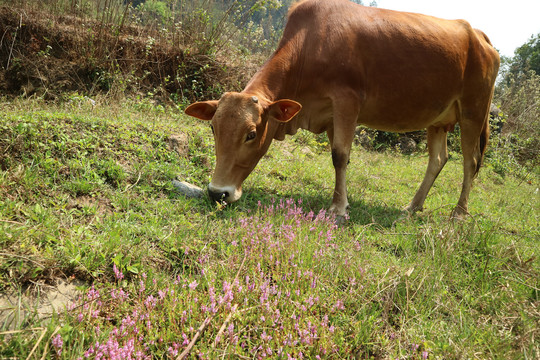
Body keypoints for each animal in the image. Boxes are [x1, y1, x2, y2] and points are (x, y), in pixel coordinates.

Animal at [185, 0, 498, 218]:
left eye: (251, 134)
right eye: (213, 129)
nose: (217, 193)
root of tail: (479, 35)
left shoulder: (347, 100)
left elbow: (340, 155)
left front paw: (338, 207)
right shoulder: (330, 114)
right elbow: (337, 158)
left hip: (474, 111)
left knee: (470, 162)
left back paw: (459, 213)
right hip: (439, 120)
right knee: (438, 159)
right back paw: (413, 206)